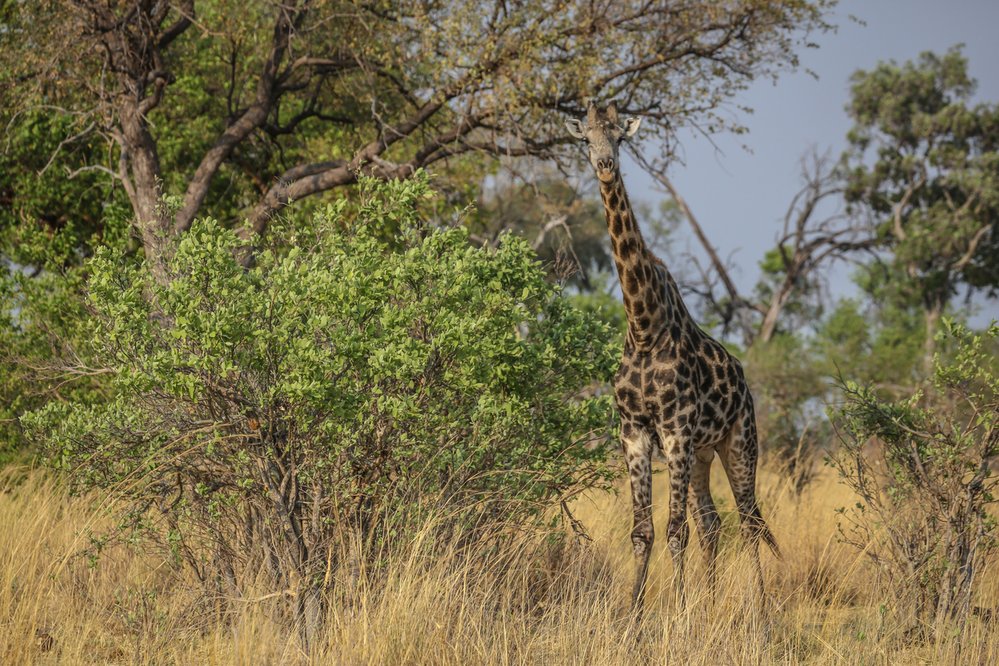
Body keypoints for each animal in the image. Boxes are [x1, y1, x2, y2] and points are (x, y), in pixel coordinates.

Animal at [568, 102, 776, 612]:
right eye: (586, 139)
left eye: (620, 137)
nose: (605, 165)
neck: (643, 327)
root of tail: (744, 381)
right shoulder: (635, 432)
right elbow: (643, 531)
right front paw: (635, 614)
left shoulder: (676, 430)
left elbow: (674, 530)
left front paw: (677, 612)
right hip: (702, 455)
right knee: (712, 521)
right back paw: (710, 601)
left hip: (739, 443)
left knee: (748, 521)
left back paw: (762, 612)